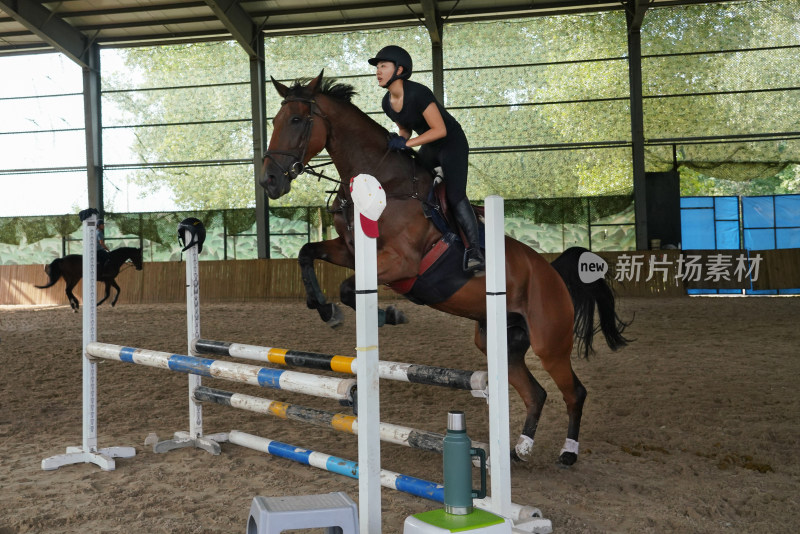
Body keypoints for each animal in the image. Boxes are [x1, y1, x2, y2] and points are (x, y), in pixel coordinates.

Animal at [260, 73, 628, 466]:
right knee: (536, 393)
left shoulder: (400, 262)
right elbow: (306, 254)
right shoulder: (350, 251)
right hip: (499, 342)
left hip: (550, 343)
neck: (382, 185)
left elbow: (348, 288)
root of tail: (554, 273)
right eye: (274, 121)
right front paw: (324, 308)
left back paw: (568, 452)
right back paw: (520, 449)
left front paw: (386, 315)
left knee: (574, 392)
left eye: (296, 120)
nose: (269, 181)